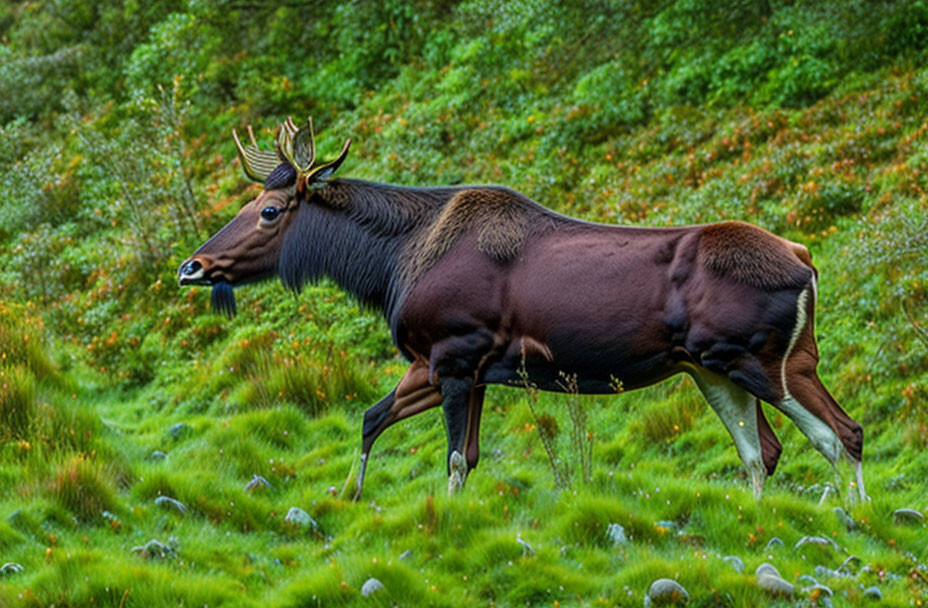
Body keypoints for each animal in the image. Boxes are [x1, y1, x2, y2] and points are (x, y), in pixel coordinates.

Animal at [178, 117, 868, 498]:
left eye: (270, 211)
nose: (192, 266)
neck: (387, 269)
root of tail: (807, 258)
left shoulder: (454, 353)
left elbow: (455, 459)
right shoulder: (458, 365)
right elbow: (376, 420)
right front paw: (348, 495)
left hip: (763, 360)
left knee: (842, 434)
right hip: (711, 369)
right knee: (761, 454)